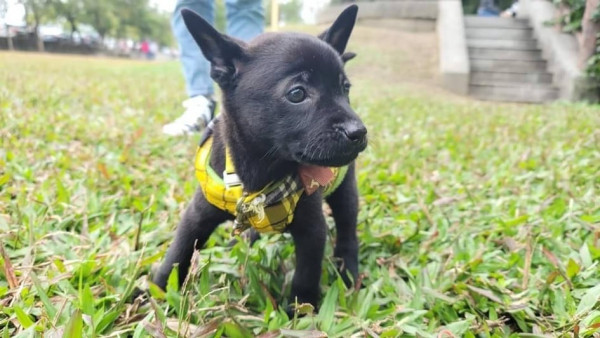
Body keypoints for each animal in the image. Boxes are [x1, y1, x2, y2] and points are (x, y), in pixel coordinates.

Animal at [154, 5, 366, 312]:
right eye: (297, 94)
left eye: (345, 89)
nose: (358, 132)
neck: (261, 168)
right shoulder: (197, 216)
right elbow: (176, 255)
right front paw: (154, 293)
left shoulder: (312, 230)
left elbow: (305, 277)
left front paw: (300, 313)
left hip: (346, 190)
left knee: (348, 229)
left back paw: (348, 270)